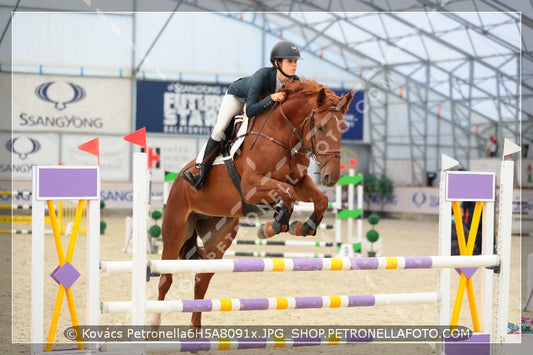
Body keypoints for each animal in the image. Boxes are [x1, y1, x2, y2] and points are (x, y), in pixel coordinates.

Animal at [154, 80, 354, 328]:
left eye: (342, 129)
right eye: (321, 128)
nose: (331, 177)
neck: (283, 136)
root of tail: (178, 180)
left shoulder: (298, 183)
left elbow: (320, 200)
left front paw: (301, 226)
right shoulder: (252, 186)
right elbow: (287, 194)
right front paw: (274, 225)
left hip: (218, 235)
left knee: (202, 279)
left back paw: (195, 331)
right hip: (175, 232)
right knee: (165, 278)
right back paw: (153, 325)